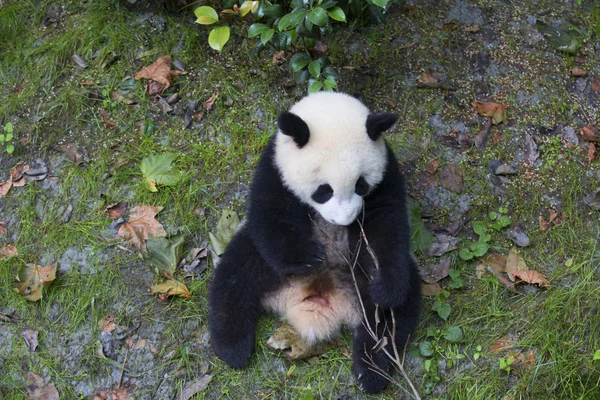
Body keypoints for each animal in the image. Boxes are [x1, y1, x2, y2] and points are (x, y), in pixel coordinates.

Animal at [209, 91, 420, 394]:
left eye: (361, 185)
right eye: (324, 191)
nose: (344, 220)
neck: (328, 108)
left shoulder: (387, 172)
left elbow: (386, 225)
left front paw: (385, 288)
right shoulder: (274, 166)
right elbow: (271, 214)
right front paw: (307, 257)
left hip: (368, 280)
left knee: (392, 318)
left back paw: (371, 370)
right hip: (258, 260)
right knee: (235, 276)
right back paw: (232, 347)